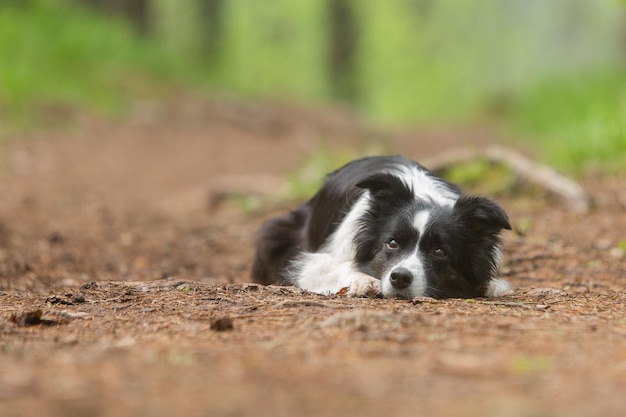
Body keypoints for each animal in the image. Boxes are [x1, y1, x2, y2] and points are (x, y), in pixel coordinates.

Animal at [251, 154, 510, 298]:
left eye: (440, 251)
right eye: (392, 243)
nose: (400, 278)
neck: (425, 196)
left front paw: (493, 285)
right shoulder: (309, 262)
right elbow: (338, 266)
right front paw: (364, 281)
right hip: (274, 232)